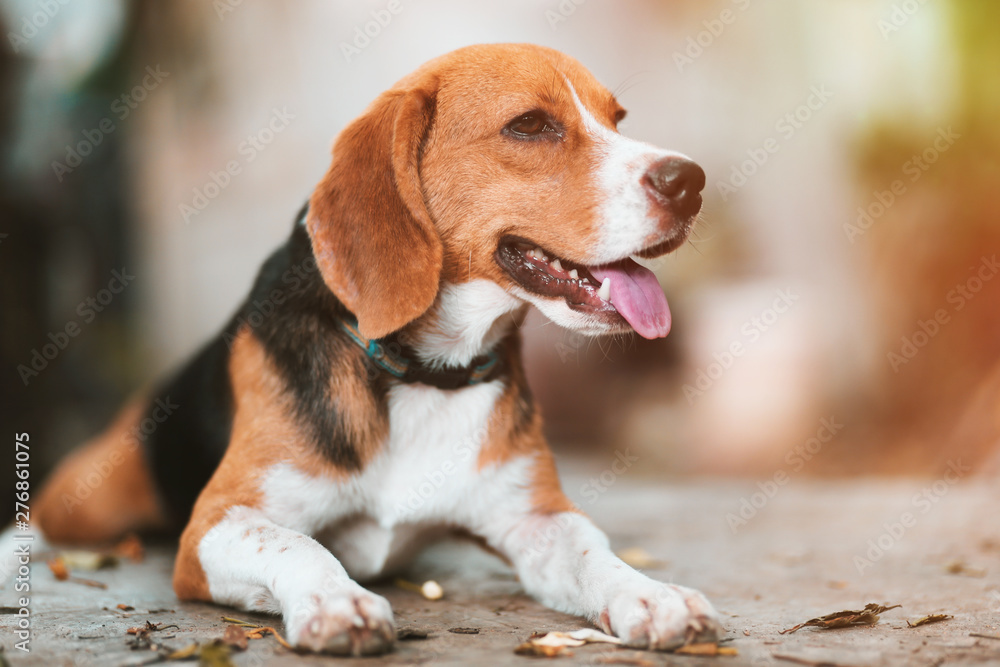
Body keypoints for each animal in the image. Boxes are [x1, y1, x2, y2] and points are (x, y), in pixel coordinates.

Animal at [31, 43, 720, 656]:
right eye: (530, 125)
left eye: (617, 120)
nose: (691, 181)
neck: (424, 374)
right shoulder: (217, 523)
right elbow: (301, 545)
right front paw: (339, 602)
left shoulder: (538, 518)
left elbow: (592, 552)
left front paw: (653, 596)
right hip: (85, 498)